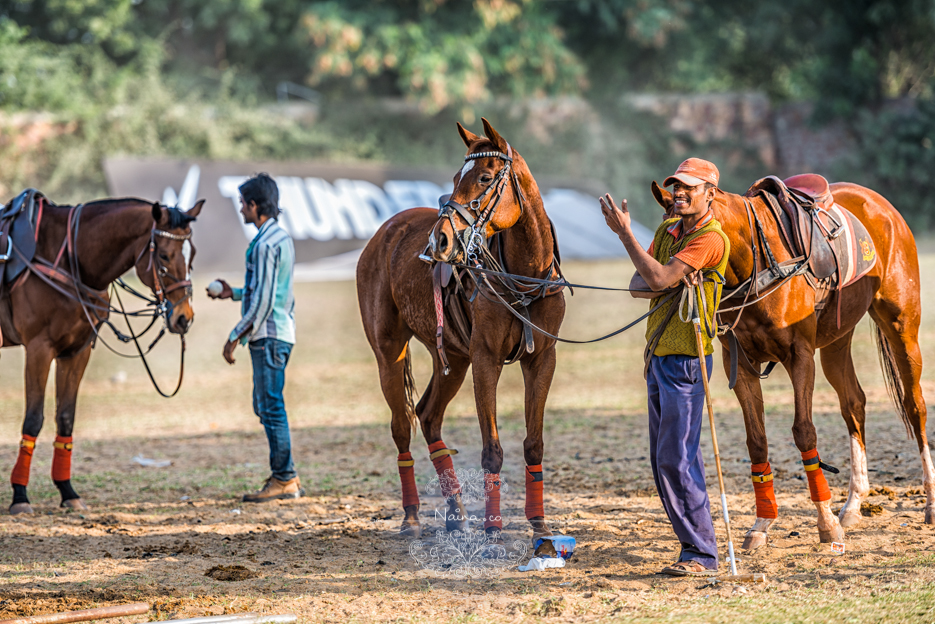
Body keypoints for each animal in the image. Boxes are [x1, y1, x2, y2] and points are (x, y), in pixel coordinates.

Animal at [3, 193, 202, 516]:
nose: (184, 318)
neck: (71, 262)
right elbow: (33, 419)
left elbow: (65, 417)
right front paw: (20, 496)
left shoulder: (77, 351)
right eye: (163, 256)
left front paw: (68, 491)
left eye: (191, 254)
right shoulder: (38, 349)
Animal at [356, 118, 564, 540]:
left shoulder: (542, 359)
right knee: (402, 425)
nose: (440, 239)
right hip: (389, 352)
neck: (526, 276)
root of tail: (386, 228)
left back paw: (455, 512)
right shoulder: (486, 359)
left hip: (451, 355)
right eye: (455, 178)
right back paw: (412, 516)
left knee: (428, 415)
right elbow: (492, 451)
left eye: (484, 177)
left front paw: (539, 525)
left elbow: (534, 443)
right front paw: (493, 529)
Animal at [652, 172, 935, 544]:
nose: (662, 285)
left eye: (690, 236)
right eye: (663, 238)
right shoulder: (740, 365)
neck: (757, 266)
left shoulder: (800, 356)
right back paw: (852, 505)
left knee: (914, 405)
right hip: (836, 340)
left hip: (901, 326)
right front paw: (761, 523)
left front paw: (825, 523)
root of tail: (881, 204)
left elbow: (803, 432)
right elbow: (756, 441)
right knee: (854, 404)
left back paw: (929, 502)